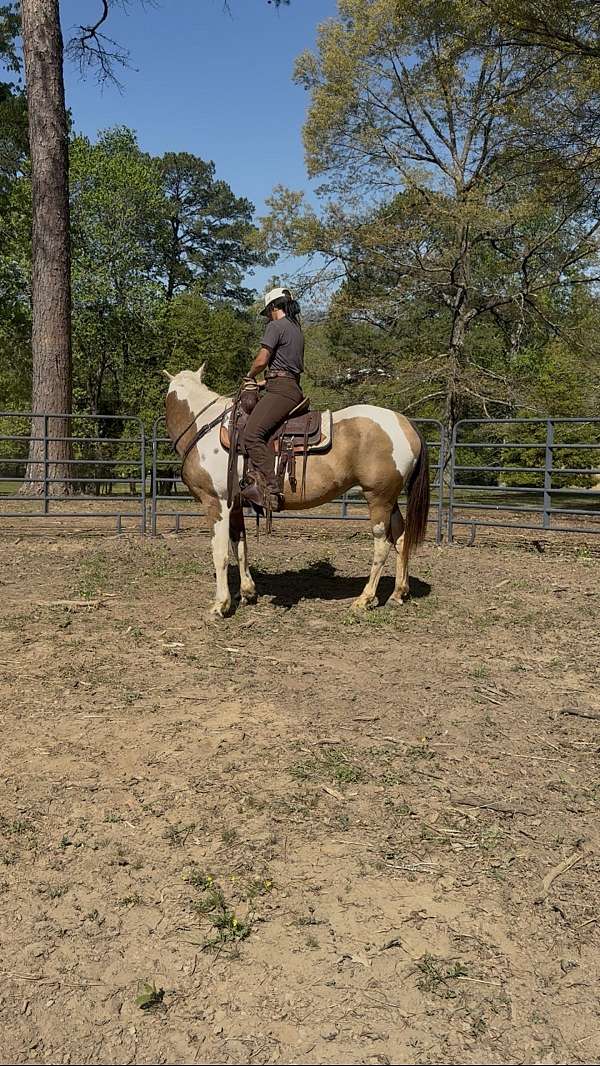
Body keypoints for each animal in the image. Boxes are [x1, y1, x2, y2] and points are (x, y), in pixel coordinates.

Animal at [164, 365, 430, 617]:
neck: (205, 427)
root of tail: (405, 423)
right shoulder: (236, 504)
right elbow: (240, 546)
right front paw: (248, 592)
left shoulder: (216, 502)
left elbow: (220, 553)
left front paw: (221, 604)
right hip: (390, 499)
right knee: (402, 538)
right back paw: (398, 593)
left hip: (378, 499)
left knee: (382, 544)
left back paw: (364, 599)